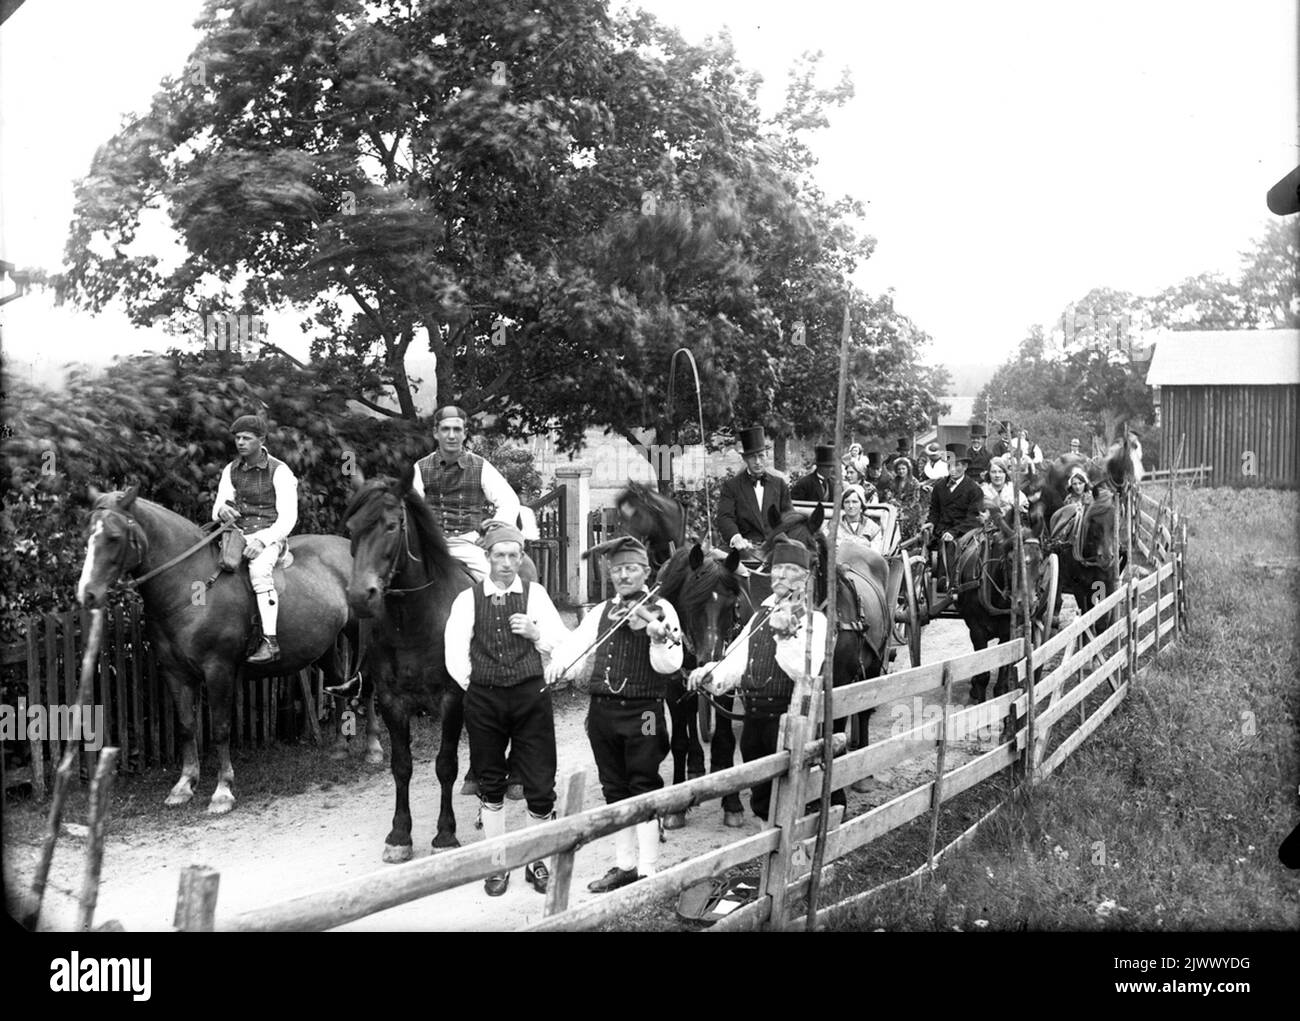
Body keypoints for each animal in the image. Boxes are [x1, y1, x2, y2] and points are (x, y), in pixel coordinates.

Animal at [75, 486, 364, 811]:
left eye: (113, 536)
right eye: (87, 534)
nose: (87, 594)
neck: (190, 585)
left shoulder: (218, 670)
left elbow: (220, 728)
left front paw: (223, 790)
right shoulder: (175, 673)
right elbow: (187, 727)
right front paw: (184, 785)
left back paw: (376, 749)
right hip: (325, 647)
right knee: (341, 685)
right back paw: (341, 746)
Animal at [345, 470, 538, 858]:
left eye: (391, 526)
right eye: (351, 528)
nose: (360, 596)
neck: (414, 621)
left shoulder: (452, 699)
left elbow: (445, 764)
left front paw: (445, 834)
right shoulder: (392, 701)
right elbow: (402, 766)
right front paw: (399, 835)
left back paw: (511, 783)